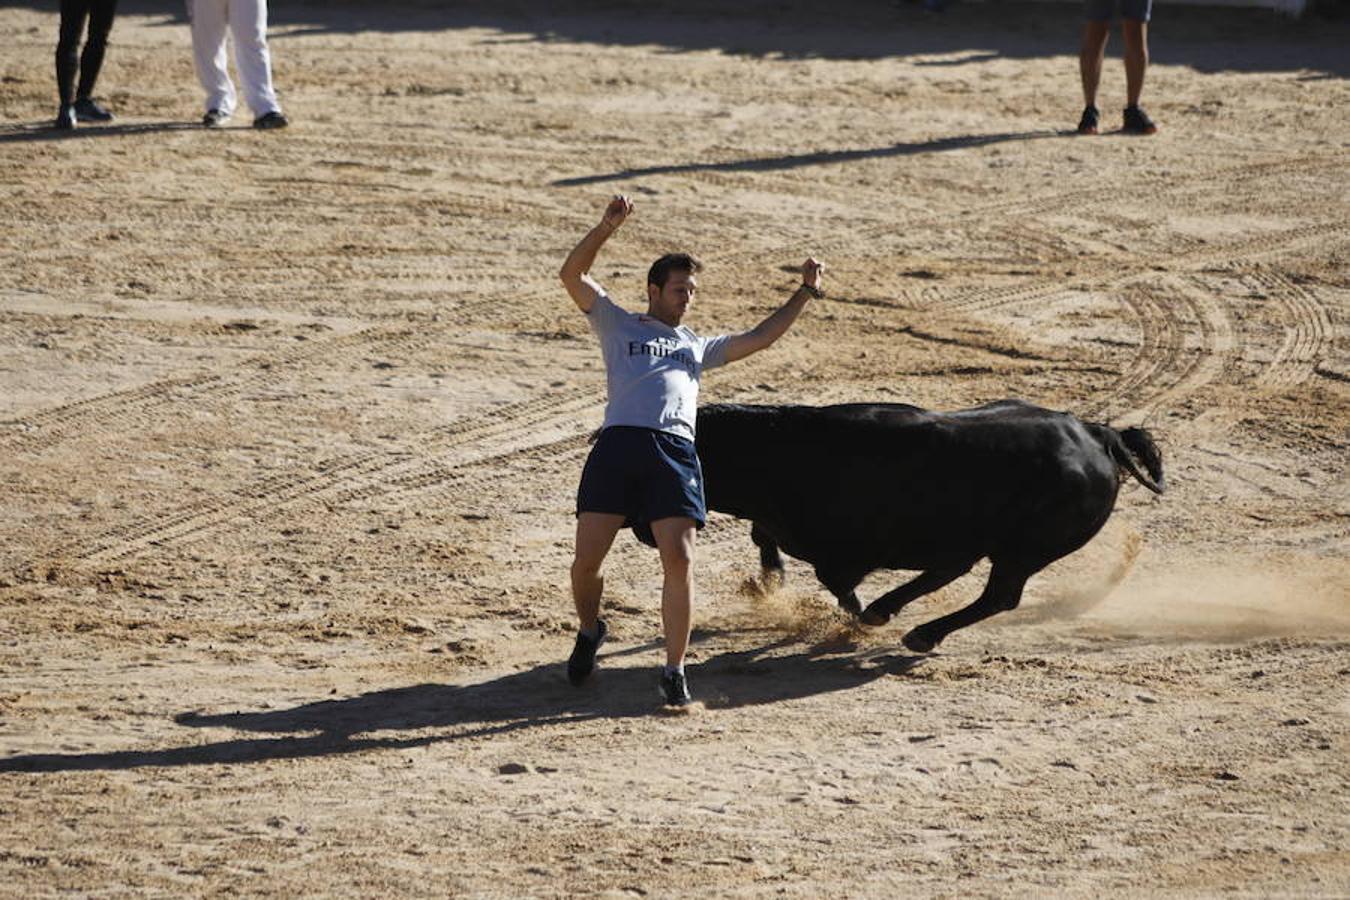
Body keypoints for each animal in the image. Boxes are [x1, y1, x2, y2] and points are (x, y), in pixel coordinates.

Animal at [637, 402, 1166, 655]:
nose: (644, 530)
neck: (781, 451)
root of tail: (1099, 434)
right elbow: (764, 536)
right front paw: (769, 583)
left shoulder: (842, 554)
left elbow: (837, 584)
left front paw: (855, 617)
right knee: (963, 575)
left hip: (1023, 550)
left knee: (998, 595)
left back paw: (916, 632)